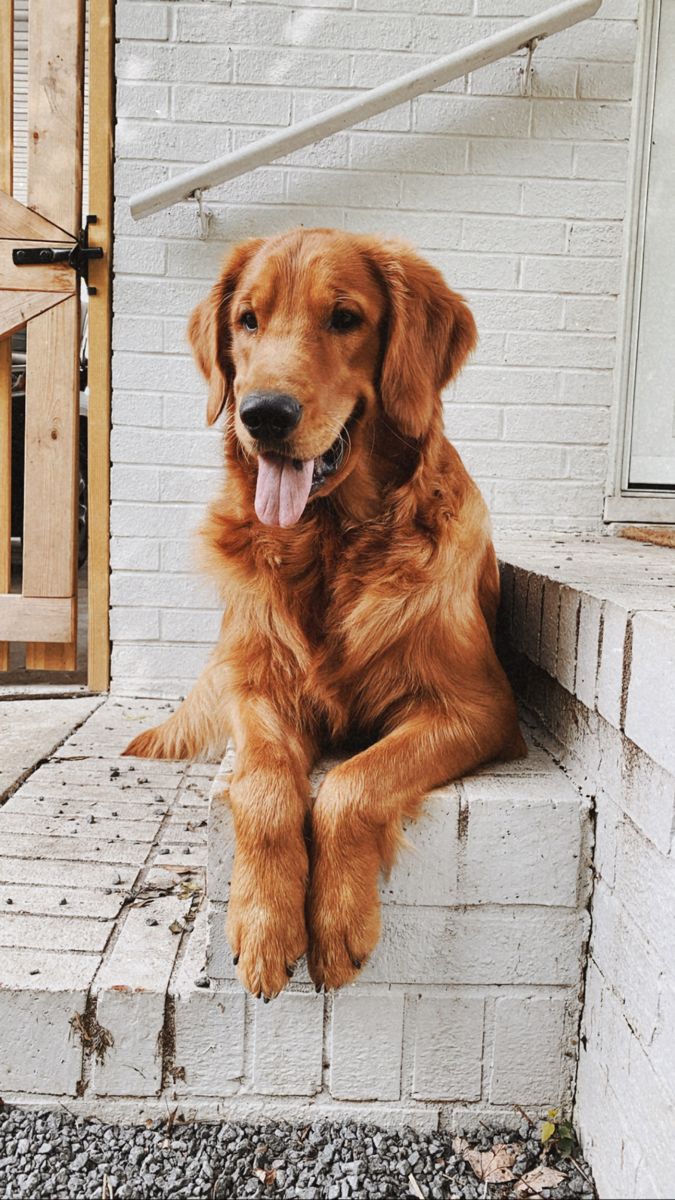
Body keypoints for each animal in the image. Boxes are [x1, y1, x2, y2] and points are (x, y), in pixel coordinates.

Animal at [126, 229, 526, 998]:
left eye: (345, 318)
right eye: (247, 321)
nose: (264, 415)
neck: (330, 543)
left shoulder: (478, 706)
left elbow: (351, 784)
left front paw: (337, 923)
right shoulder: (257, 688)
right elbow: (263, 790)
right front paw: (264, 922)